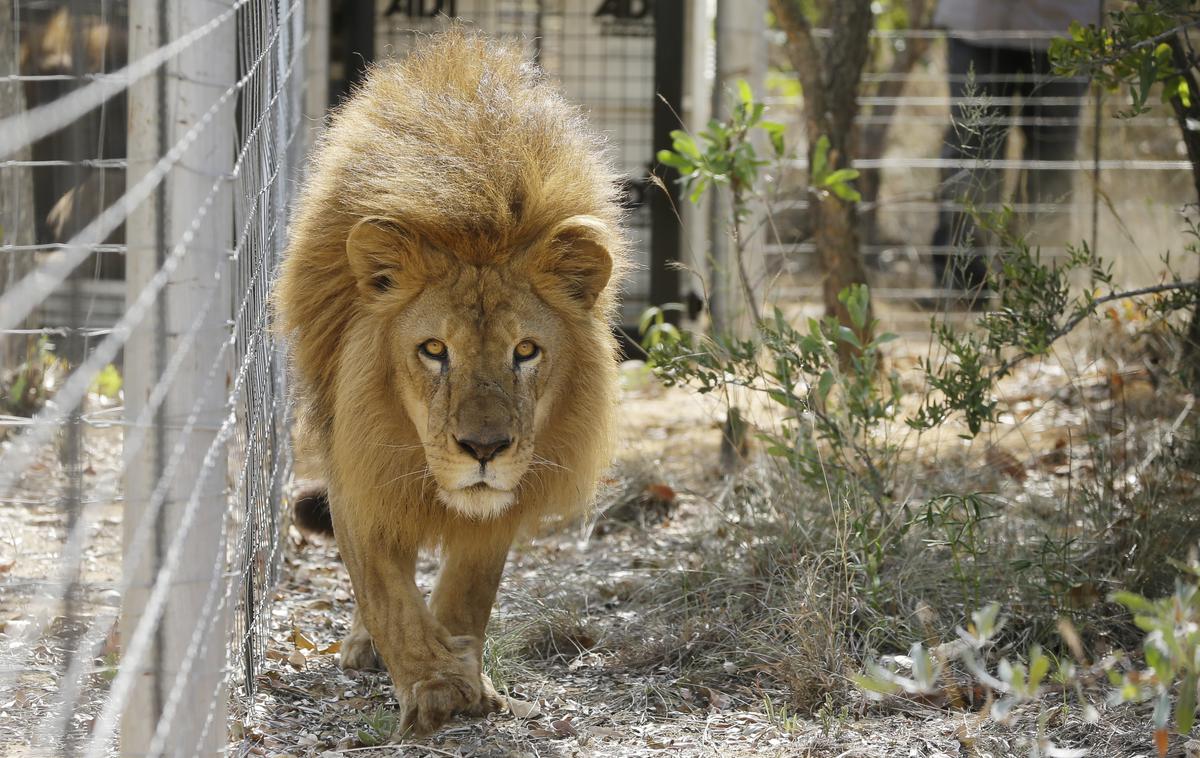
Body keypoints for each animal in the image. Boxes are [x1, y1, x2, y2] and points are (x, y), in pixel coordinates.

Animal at [273, 29, 628, 734]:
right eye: (434, 350)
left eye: (526, 351)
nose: (484, 449)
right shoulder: (360, 469)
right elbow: (388, 596)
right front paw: (437, 686)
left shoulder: (504, 500)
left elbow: (468, 593)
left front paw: (469, 675)